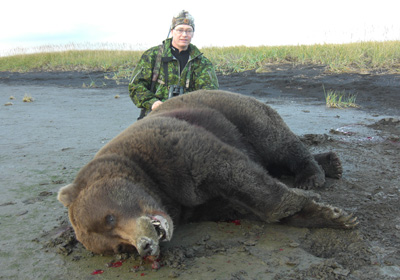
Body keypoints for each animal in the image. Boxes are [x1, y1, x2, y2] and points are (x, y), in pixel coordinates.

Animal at [57, 89, 358, 258]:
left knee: (276, 141)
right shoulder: (195, 207)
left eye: (109, 217)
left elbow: (237, 175)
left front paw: (332, 214)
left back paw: (312, 175)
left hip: (237, 113)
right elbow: (236, 205)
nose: (144, 246)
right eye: (119, 248)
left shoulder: (174, 148)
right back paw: (331, 163)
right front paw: (328, 215)